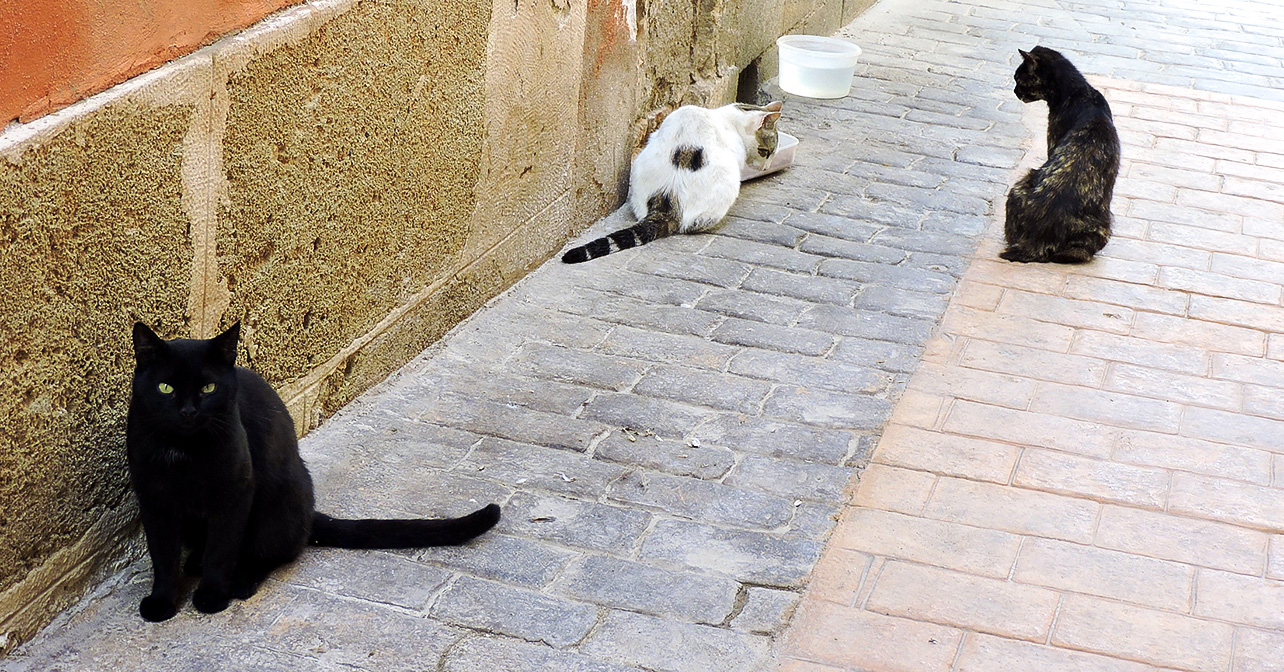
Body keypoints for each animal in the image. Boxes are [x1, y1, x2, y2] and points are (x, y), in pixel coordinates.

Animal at [123, 323, 495, 624]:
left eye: (208, 388)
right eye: (166, 388)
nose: (188, 411)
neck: (184, 451)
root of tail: (310, 511)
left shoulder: (235, 494)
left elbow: (222, 549)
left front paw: (212, 596)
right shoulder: (153, 501)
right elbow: (163, 556)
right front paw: (161, 602)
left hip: (279, 500)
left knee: (276, 550)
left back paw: (238, 582)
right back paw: (194, 564)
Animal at [996, 45, 1119, 263]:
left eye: (1018, 78)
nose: (1015, 91)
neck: (1080, 92)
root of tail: (1036, 241)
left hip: (1018, 186)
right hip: (1102, 227)